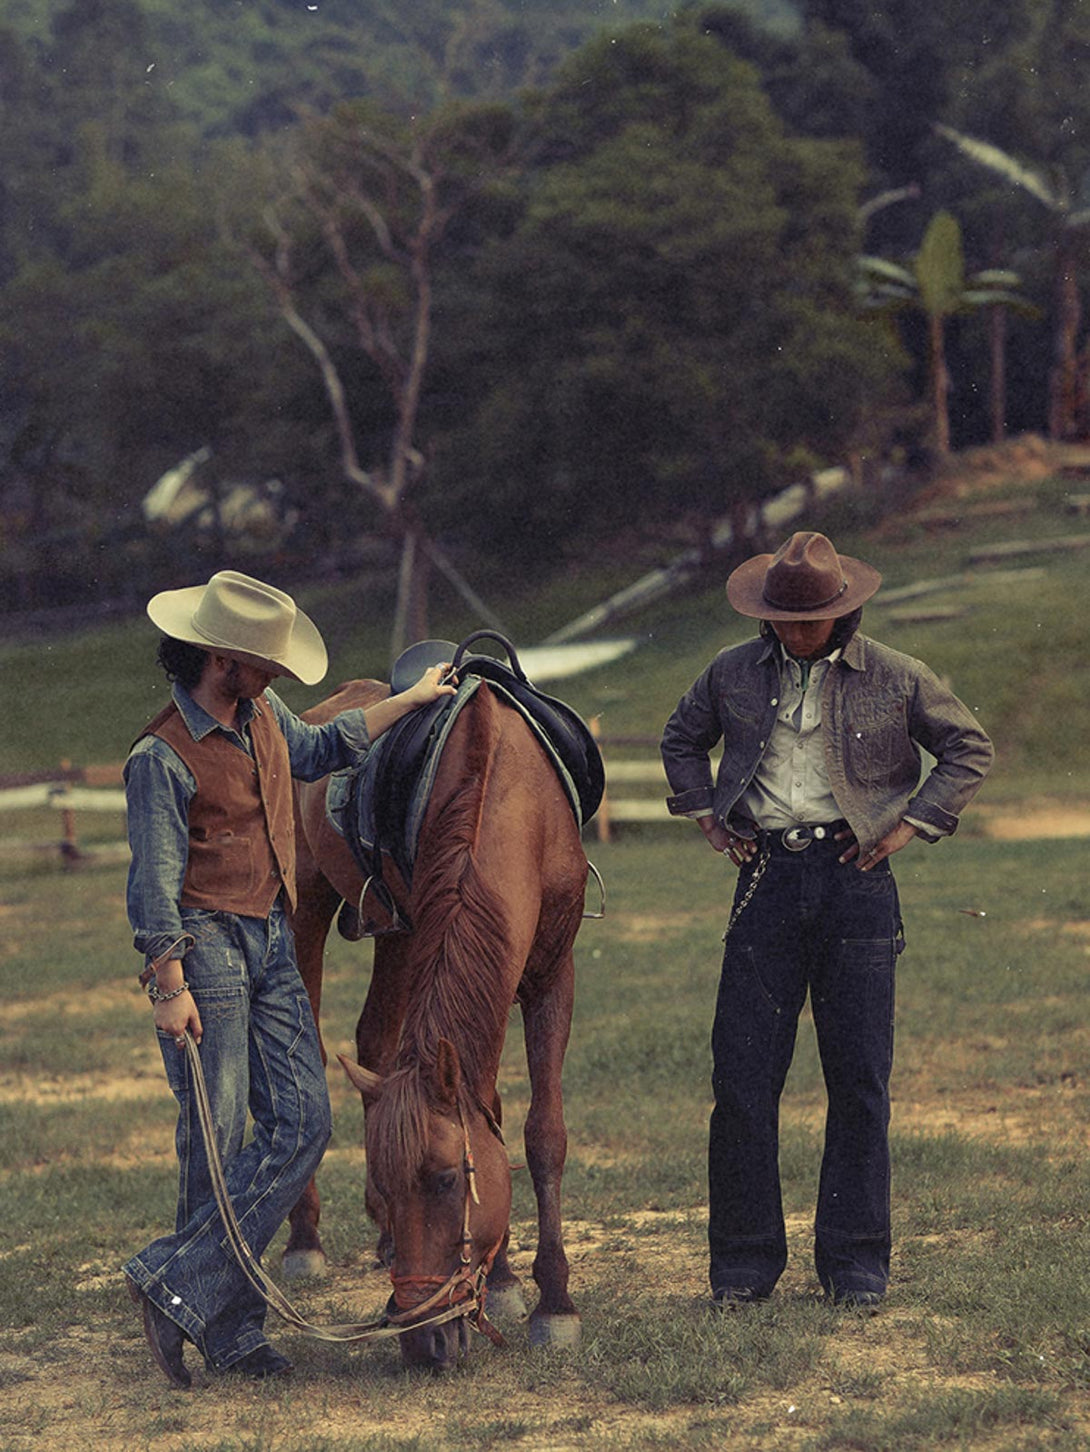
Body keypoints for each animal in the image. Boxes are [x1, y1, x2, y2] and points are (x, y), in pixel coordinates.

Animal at [277, 665, 592, 1364]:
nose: (422, 1339)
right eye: (389, 1181)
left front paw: (552, 1301)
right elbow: (493, 1110)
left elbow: (542, 1134)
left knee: (375, 1039)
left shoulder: (553, 973)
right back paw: (305, 1238)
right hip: (307, 909)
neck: (510, 797)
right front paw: (509, 1283)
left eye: (447, 1181)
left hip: (394, 935)